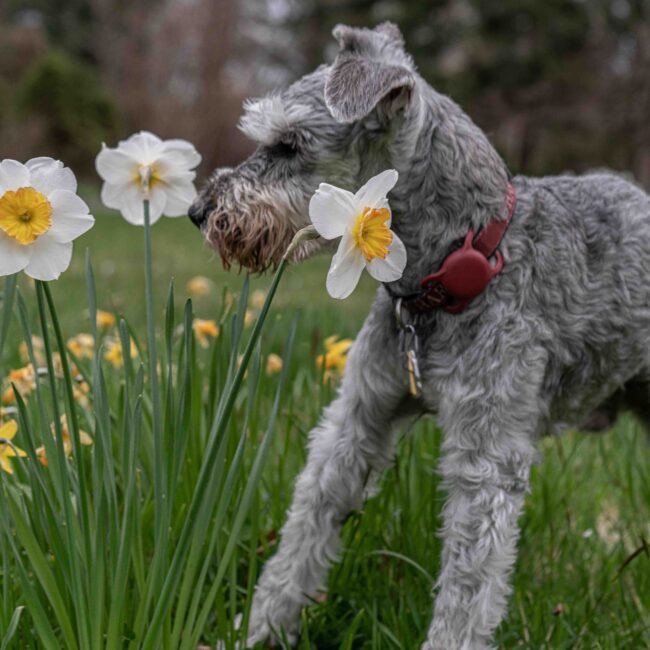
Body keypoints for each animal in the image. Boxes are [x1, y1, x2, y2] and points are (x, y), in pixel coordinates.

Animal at [187, 21, 648, 648]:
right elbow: (303, 537)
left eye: (289, 145)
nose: (199, 211)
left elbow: (467, 593)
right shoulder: (357, 421)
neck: (459, 266)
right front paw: (258, 630)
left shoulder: (485, 461)